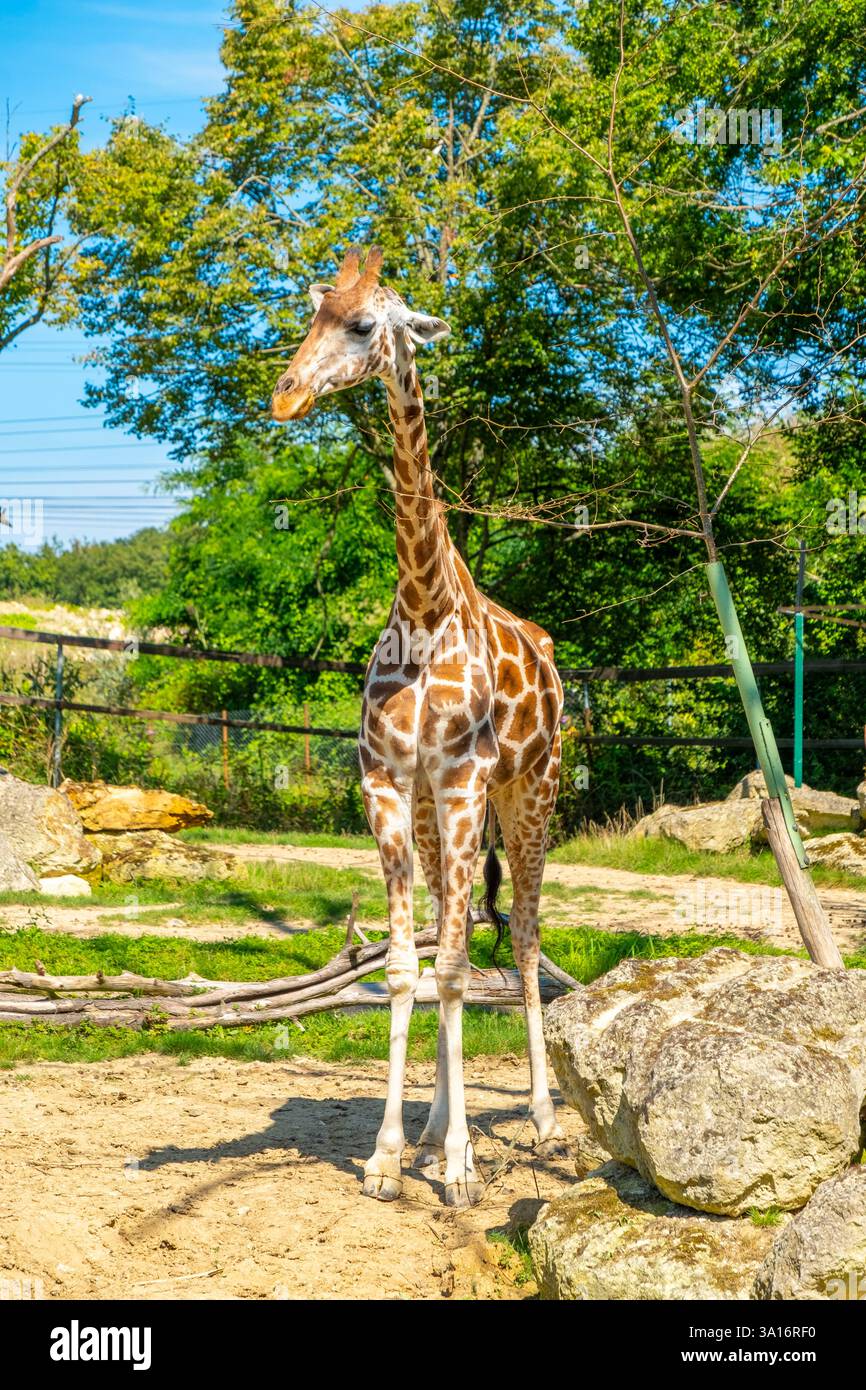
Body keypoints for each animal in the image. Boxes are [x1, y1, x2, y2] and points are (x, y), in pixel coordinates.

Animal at [272, 245, 566, 1208]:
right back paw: (439, 1128)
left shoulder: (468, 782)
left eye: (366, 324)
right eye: (313, 312)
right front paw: (392, 1156)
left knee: (523, 937)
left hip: (531, 792)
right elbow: (410, 967)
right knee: (458, 931)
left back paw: (540, 1122)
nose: (286, 393)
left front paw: (465, 1168)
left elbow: (457, 968)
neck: (425, 604)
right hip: (447, 817)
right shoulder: (391, 786)